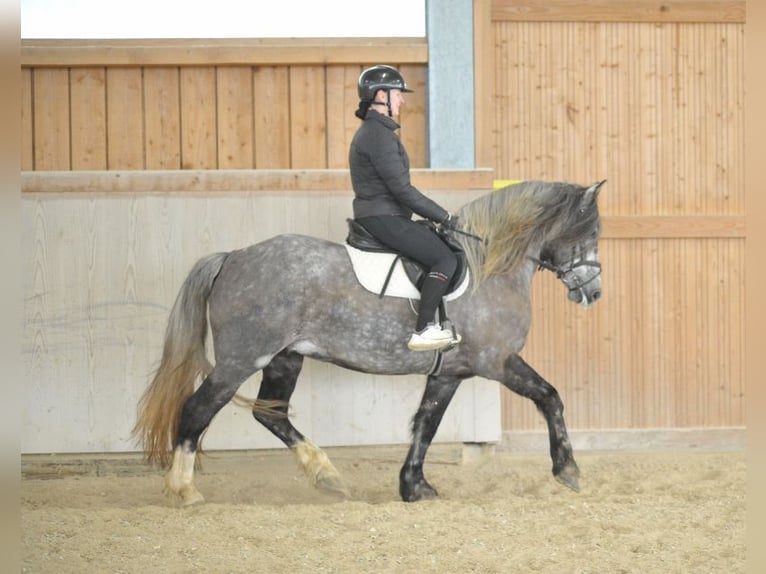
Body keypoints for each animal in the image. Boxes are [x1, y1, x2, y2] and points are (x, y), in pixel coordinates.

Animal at [135, 179, 608, 504]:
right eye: (590, 234)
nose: (594, 292)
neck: (488, 267)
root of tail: (232, 257)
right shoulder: (497, 361)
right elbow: (550, 396)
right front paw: (568, 470)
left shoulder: (450, 371)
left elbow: (426, 424)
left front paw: (414, 487)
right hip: (241, 358)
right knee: (198, 409)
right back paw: (183, 490)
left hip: (285, 358)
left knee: (272, 414)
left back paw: (326, 475)